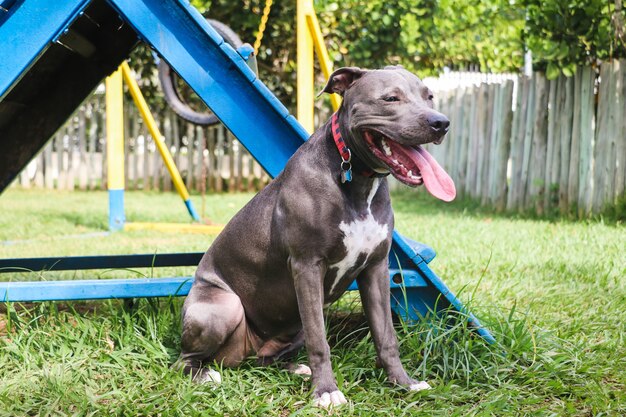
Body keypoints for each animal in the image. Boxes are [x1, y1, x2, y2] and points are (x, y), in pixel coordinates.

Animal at [176, 66, 454, 406]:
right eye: (390, 98)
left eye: (429, 96)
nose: (440, 122)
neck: (356, 179)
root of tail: (241, 356)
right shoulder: (307, 267)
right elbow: (320, 341)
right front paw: (326, 391)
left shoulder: (376, 269)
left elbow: (386, 336)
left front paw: (403, 383)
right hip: (224, 307)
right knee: (184, 360)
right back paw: (204, 375)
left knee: (268, 358)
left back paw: (295, 368)